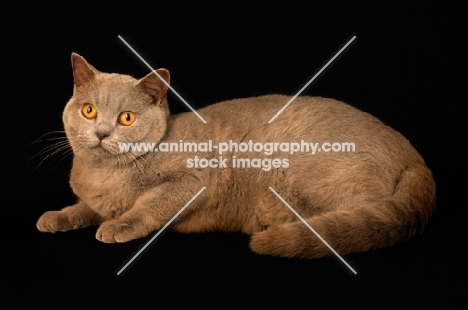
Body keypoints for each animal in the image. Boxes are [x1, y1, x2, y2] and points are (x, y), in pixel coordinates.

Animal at [35, 53, 436, 260]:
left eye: (126, 118)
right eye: (89, 111)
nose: (102, 133)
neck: (105, 175)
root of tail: (412, 153)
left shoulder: (192, 180)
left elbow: (147, 205)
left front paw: (117, 226)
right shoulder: (95, 198)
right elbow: (84, 207)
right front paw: (57, 217)